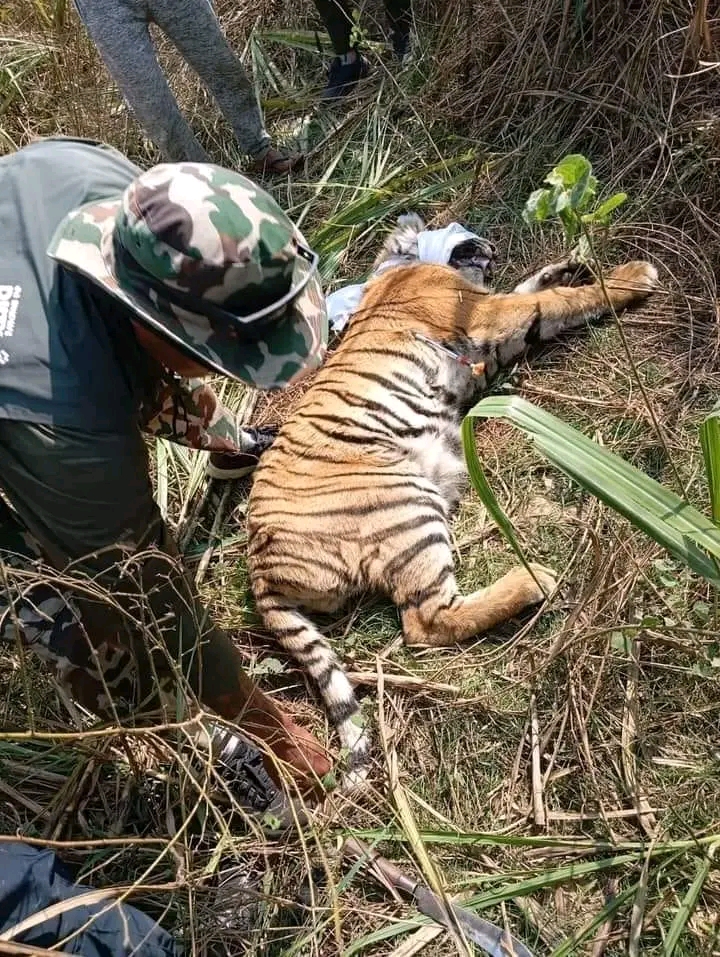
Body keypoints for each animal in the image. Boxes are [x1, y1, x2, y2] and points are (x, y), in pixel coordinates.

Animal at [246, 217, 660, 784]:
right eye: (465, 233)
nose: (490, 243)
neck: (399, 265)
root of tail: (258, 564)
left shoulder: (497, 325)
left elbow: (535, 288)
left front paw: (566, 263)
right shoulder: (488, 314)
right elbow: (560, 300)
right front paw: (633, 276)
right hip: (405, 504)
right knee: (427, 622)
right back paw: (534, 580)